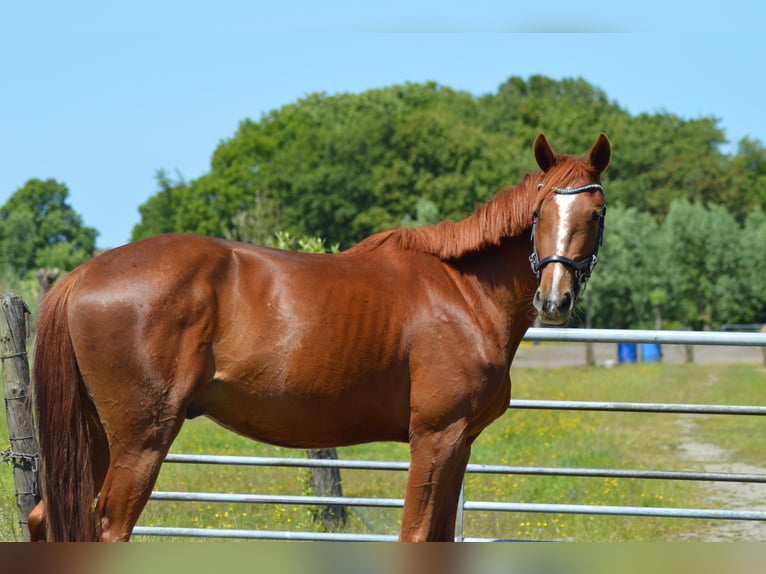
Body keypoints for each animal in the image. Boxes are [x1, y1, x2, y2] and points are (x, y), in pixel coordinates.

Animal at [31, 133, 612, 544]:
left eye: (597, 213)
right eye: (539, 210)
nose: (554, 299)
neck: (462, 291)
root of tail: (82, 275)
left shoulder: (459, 443)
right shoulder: (436, 438)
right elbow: (416, 535)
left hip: (95, 436)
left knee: (43, 520)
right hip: (140, 439)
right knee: (109, 528)